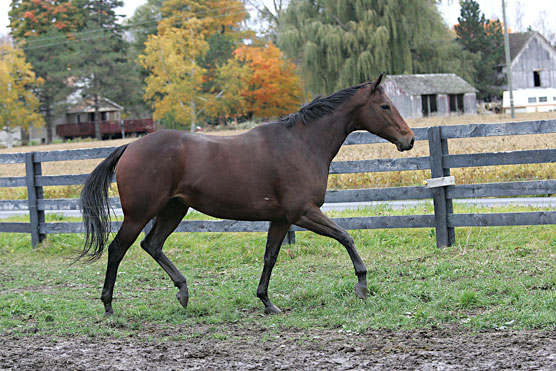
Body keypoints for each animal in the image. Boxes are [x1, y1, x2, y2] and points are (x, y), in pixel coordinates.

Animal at [78, 73, 412, 316]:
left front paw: (267, 301)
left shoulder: (282, 219)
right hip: (140, 214)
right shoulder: (304, 212)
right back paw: (108, 306)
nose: (408, 139)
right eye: (385, 106)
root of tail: (129, 147)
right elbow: (346, 237)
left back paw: (183, 291)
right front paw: (362, 286)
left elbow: (270, 257)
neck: (301, 144)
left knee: (152, 245)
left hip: (173, 210)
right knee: (118, 249)